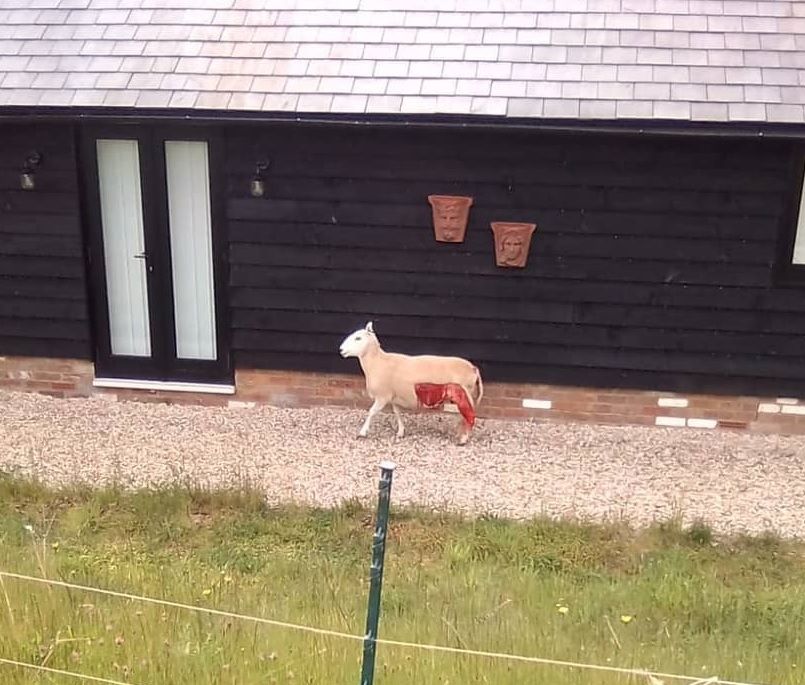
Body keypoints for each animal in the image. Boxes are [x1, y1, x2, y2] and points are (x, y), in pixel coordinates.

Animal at [334, 320, 480, 444]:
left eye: (358, 338)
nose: (341, 350)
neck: (377, 362)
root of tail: (473, 368)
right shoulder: (394, 396)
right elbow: (397, 413)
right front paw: (401, 432)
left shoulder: (383, 396)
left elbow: (371, 412)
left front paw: (362, 432)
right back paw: (460, 434)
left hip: (464, 395)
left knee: (469, 416)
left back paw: (463, 439)